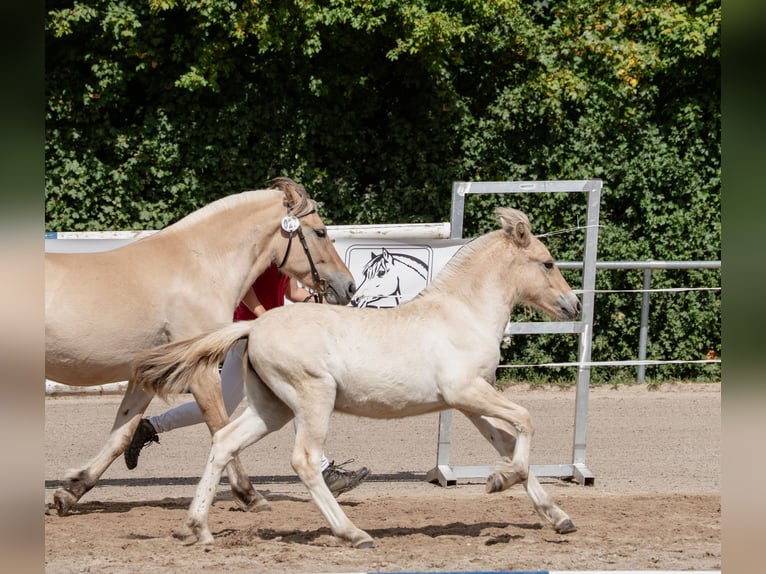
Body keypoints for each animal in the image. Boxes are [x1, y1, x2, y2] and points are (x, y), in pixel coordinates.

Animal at [45, 177, 356, 517]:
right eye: (320, 232)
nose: (349, 286)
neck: (200, 264)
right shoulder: (200, 369)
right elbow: (220, 426)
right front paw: (249, 495)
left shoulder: (144, 373)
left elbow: (122, 433)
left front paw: (70, 492)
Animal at [133, 207, 580, 548]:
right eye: (548, 263)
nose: (574, 305)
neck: (462, 313)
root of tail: (253, 327)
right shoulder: (467, 391)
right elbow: (525, 421)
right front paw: (498, 481)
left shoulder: (468, 401)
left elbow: (507, 441)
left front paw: (558, 516)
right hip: (314, 398)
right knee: (304, 460)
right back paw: (353, 534)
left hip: (270, 408)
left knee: (224, 441)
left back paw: (196, 528)